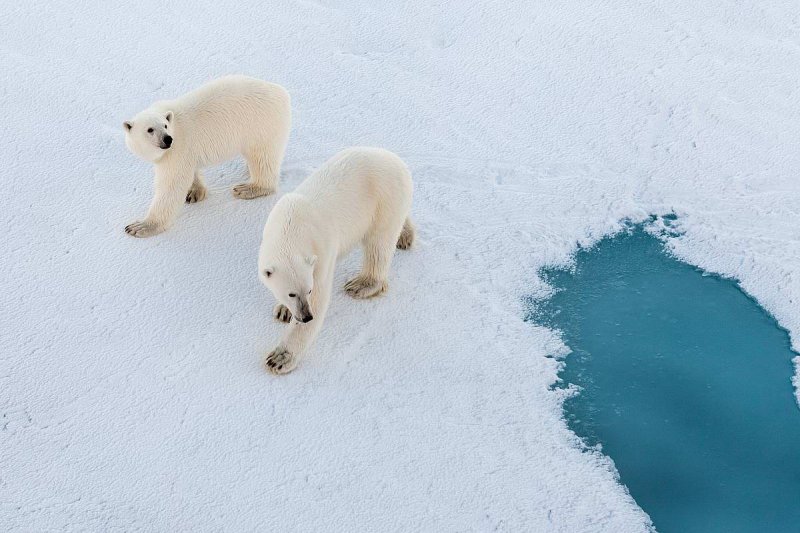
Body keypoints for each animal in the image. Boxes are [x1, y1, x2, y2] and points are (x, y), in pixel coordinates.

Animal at [122, 75, 291, 237]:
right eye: (150, 129)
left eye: (165, 125)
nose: (167, 139)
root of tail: (281, 92)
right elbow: (190, 172)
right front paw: (195, 192)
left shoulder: (177, 149)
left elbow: (172, 184)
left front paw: (140, 226)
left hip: (260, 126)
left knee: (262, 158)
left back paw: (248, 188)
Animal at [258, 147, 415, 374]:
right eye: (291, 293)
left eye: (309, 290)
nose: (306, 316)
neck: (292, 225)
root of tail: (397, 160)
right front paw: (284, 310)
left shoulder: (321, 253)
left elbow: (320, 298)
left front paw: (280, 358)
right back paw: (406, 235)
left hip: (385, 197)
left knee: (378, 243)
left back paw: (362, 284)